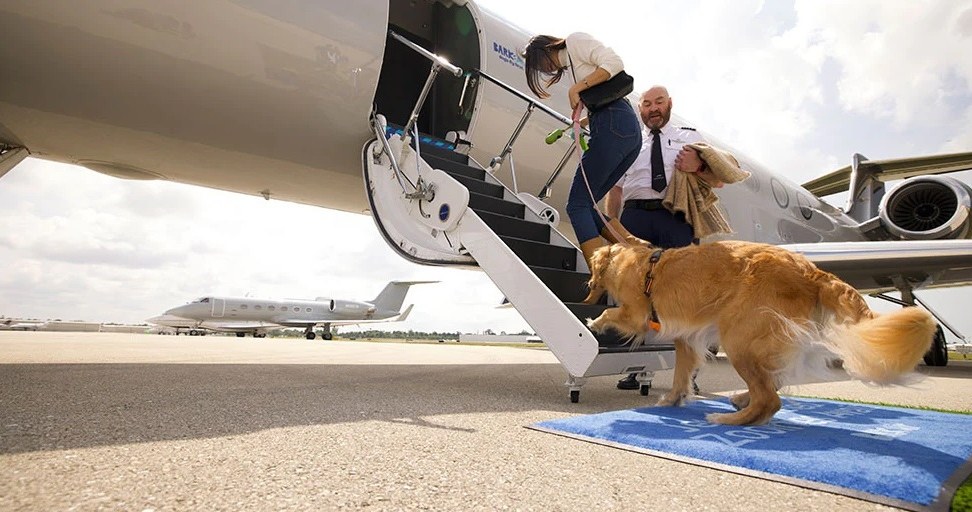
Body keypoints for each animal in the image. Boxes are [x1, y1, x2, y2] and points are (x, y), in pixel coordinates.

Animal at [580, 242, 936, 426]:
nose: (588, 285)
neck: (632, 260)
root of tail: (812, 271)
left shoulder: (637, 314)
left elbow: (613, 314)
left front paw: (594, 322)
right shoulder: (687, 336)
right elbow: (682, 371)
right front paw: (673, 398)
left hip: (739, 338)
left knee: (770, 398)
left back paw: (729, 420)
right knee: (771, 383)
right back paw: (740, 399)